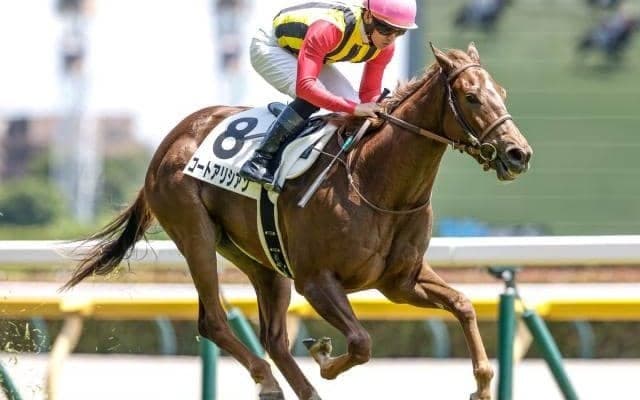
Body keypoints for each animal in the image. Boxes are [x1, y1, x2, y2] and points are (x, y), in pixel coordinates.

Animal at [63, 43, 532, 400]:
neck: (375, 180)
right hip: (195, 234)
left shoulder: (400, 281)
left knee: (273, 337)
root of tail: (169, 141)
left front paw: (482, 385)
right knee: (214, 320)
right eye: (471, 97)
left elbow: (463, 304)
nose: (518, 154)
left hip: (261, 259)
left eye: (503, 92)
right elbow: (361, 342)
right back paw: (268, 380)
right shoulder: (317, 280)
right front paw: (324, 358)